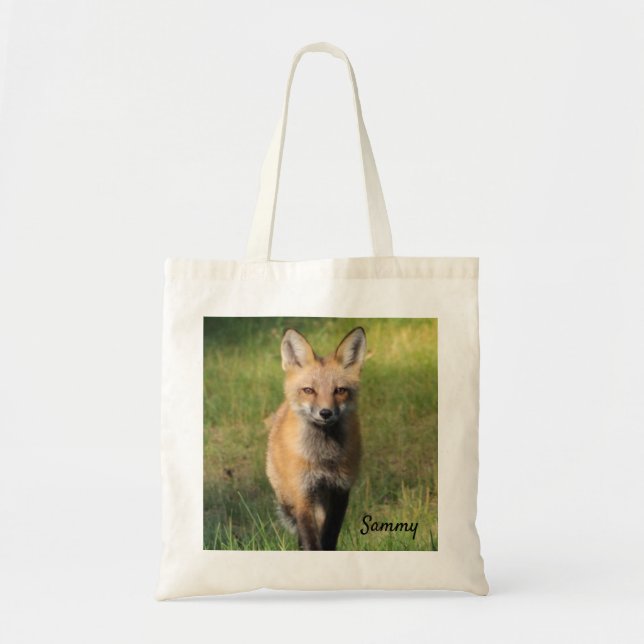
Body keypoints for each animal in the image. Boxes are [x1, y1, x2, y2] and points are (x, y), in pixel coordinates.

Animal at [266, 327, 367, 551]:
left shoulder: (340, 489)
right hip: (288, 497)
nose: (325, 413)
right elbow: (310, 539)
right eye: (309, 390)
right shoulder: (302, 493)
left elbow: (329, 535)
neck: (323, 458)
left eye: (340, 390)